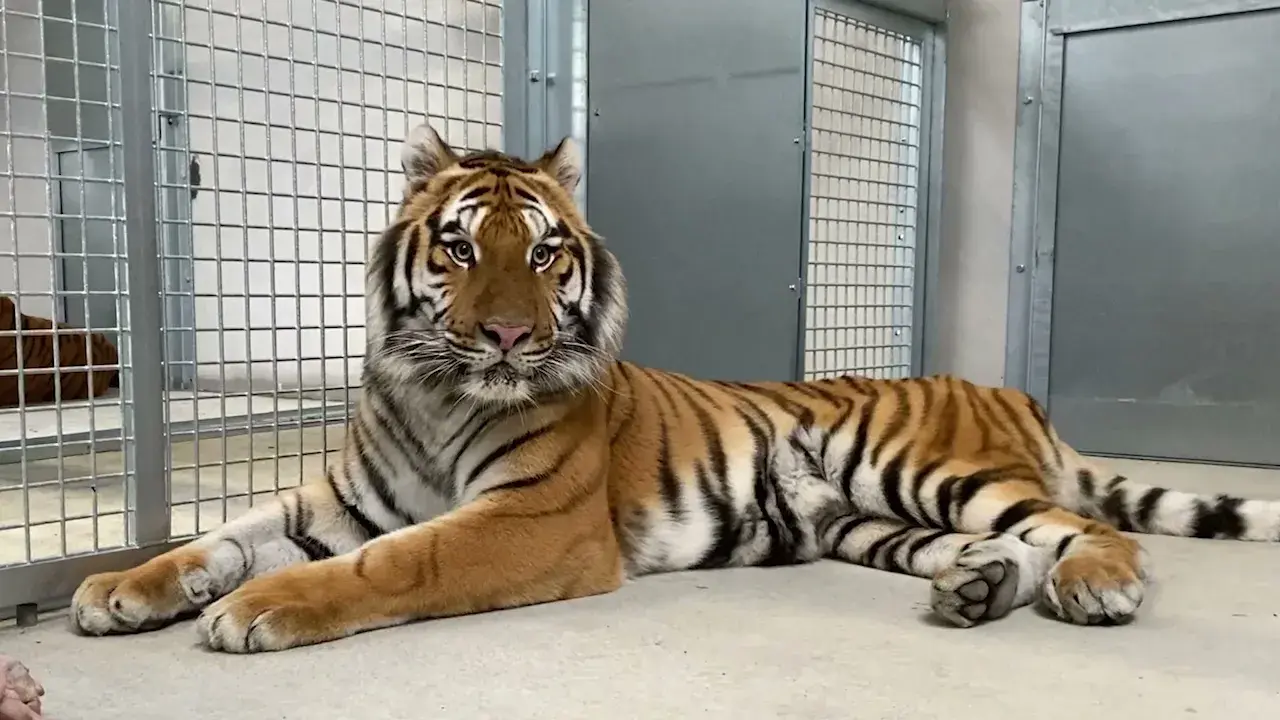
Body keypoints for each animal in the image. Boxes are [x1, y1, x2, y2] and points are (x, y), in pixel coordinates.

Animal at [68, 124, 1280, 653]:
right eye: (458, 249)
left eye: (544, 252)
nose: (507, 334)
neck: (435, 392)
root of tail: (1007, 392)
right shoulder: (336, 503)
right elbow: (219, 534)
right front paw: (122, 587)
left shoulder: (528, 523)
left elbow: (395, 562)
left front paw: (253, 609)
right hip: (864, 518)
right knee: (1001, 548)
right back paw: (976, 591)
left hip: (917, 466)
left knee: (1081, 528)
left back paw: (1099, 587)